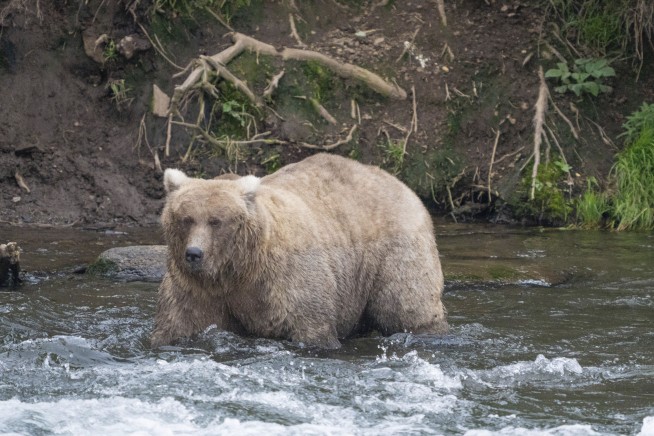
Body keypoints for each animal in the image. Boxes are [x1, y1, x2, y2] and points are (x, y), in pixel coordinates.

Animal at [151, 153, 447, 348]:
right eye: (186, 218)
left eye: (216, 221)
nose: (194, 253)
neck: (239, 270)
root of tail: (400, 184)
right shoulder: (197, 289)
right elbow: (179, 323)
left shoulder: (287, 279)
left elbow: (310, 325)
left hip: (394, 250)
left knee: (405, 304)